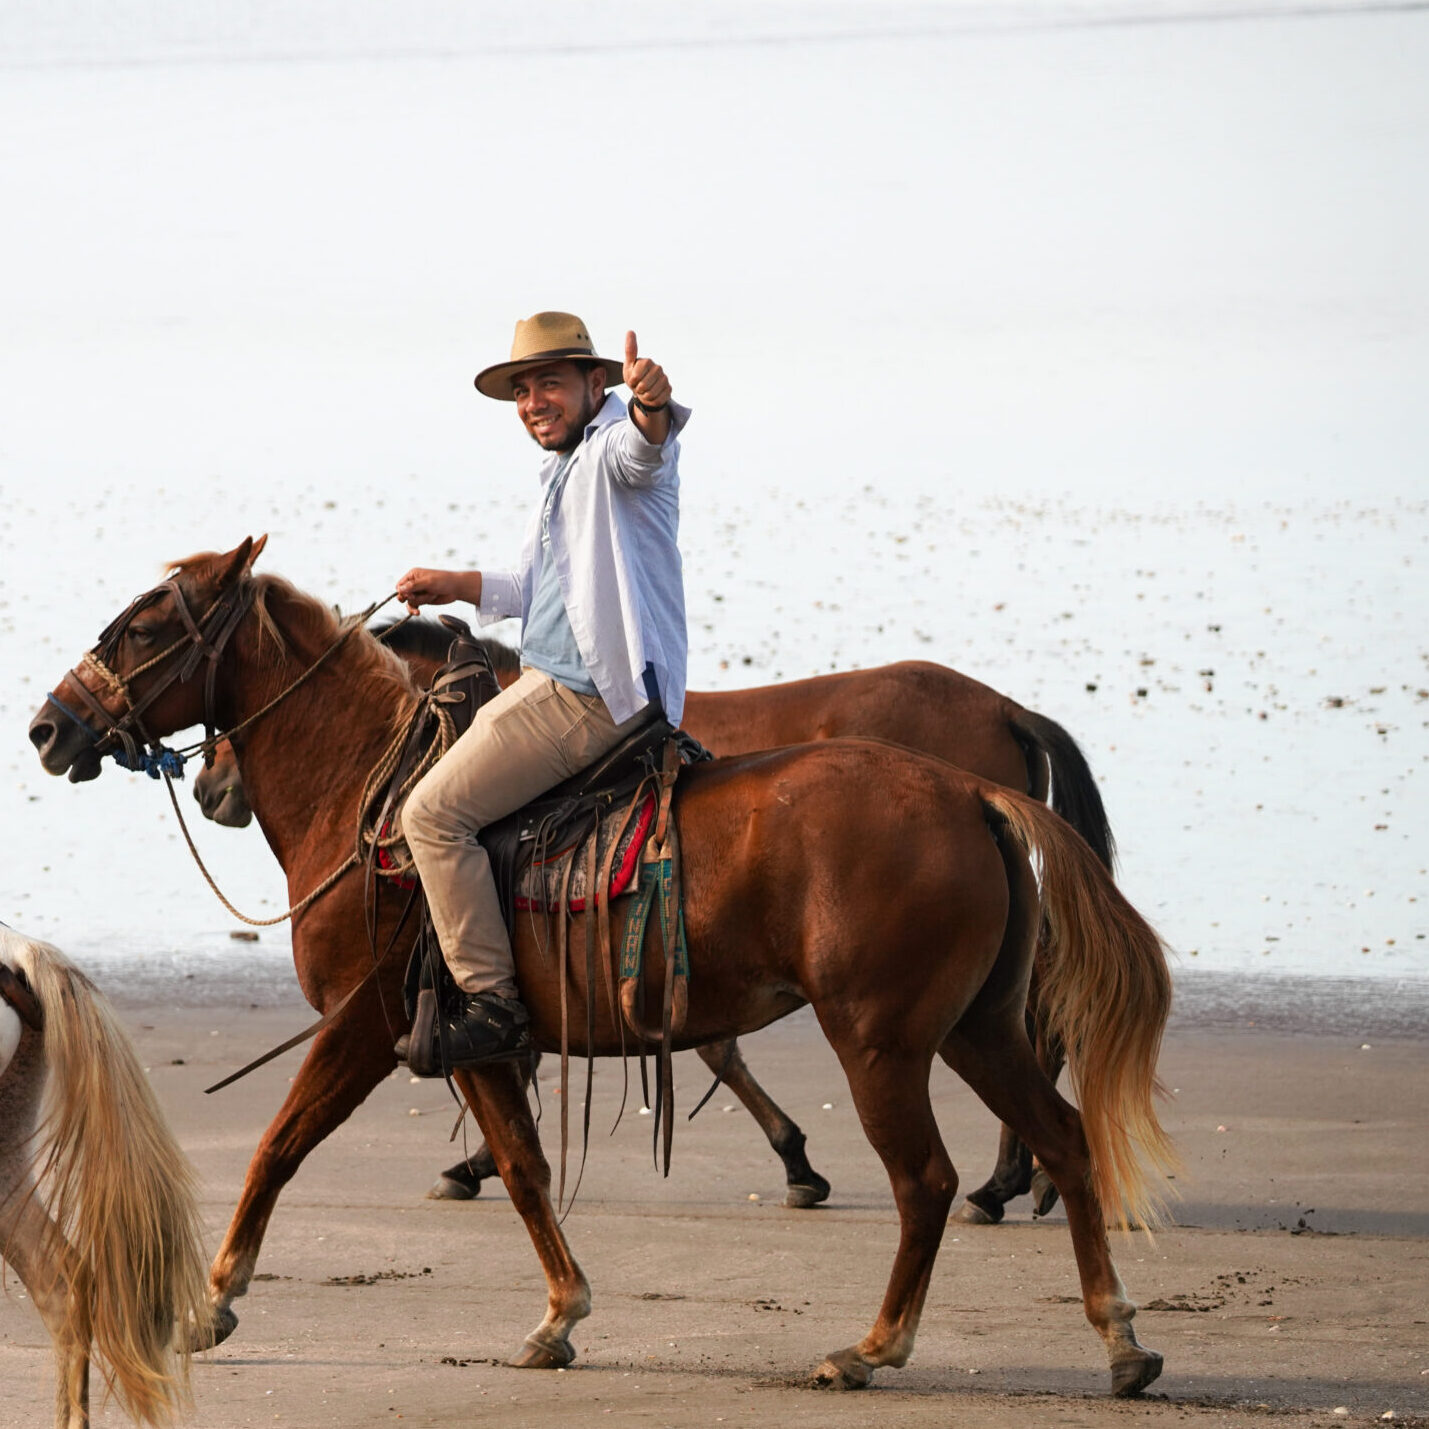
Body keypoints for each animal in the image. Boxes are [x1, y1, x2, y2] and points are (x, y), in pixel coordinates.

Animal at [198, 614, 1114, 1217]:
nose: (212, 788)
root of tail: (1002, 708)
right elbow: (701, 1045)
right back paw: (1018, 1177)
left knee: (1033, 1024)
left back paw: (1008, 1180)